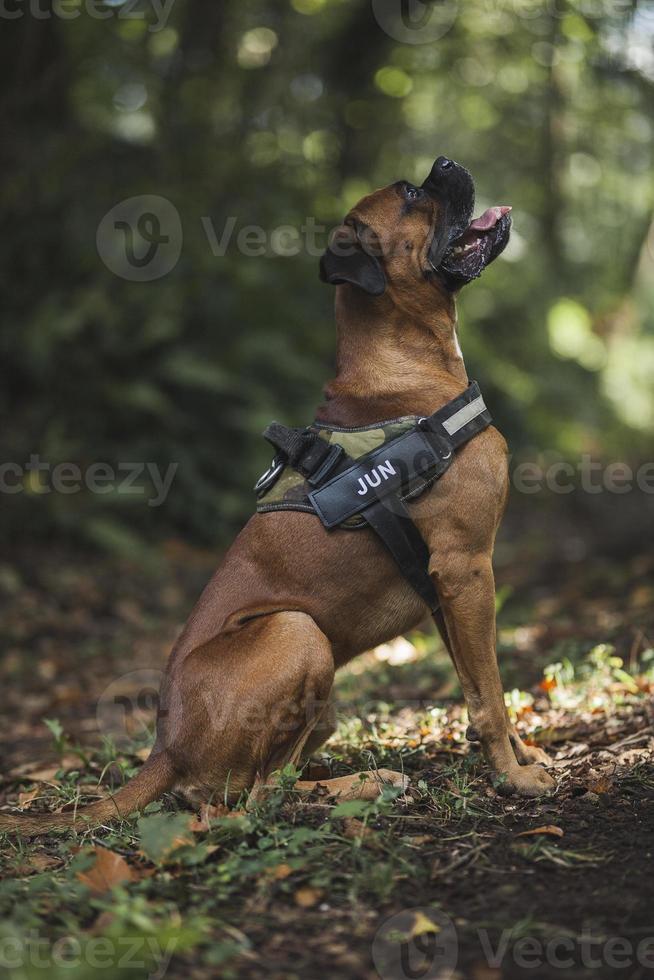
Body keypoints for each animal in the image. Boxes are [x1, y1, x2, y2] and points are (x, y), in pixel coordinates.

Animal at [0, 155, 556, 836]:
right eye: (410, 193)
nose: (446, 162)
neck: (403, 364)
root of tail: (164, 750)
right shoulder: (467, 570)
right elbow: (490, 697)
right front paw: (513, 777)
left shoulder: (446, 591)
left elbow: (479, 681)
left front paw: (523, 755)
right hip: (297, 632)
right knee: (257, 798)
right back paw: (367, 784)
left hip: (321, 696)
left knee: (268, 781)